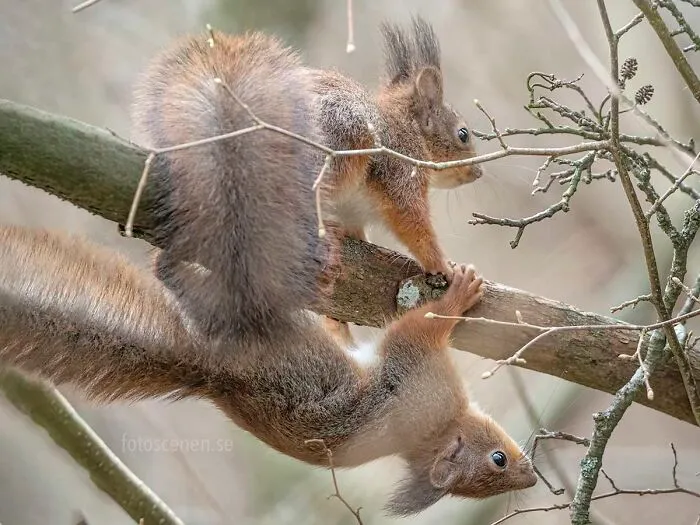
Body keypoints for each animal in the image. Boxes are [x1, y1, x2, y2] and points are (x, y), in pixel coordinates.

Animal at [0, 17, 537, 516]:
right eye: (463, 134)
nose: (478, 172)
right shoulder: (397, 168)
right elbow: (413, 225)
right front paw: (443, 267)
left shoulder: (357, 212)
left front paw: (341, 314)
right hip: (340, 142)